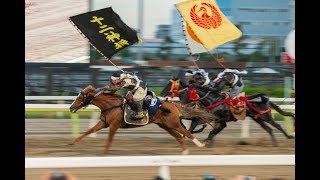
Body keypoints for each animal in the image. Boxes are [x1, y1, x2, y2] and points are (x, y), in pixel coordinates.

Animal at [69, 84, 206, 155]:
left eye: (80, 97)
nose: (71, 107)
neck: (111, 105)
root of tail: (173, 104)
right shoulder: (104, 123)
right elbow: (89, 130)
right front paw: (73, 142)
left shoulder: (114, 125)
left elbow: (109, 139)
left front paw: (105, 153)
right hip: (165, 125)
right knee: (178, 136)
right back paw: (185, 151)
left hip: (174, 123)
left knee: (186, 133)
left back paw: (200, 145)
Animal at [160, 77, 296, 146]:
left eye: (170, 85)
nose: (162, 93)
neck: (211, 100)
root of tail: (266, 100)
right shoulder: (204, 117)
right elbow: (194, 126)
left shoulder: (217, 120)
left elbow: (209, 131)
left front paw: (204, 142)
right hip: (257, 118)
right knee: (269, 129)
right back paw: (276, 143)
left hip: (265, 116)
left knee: (277, 125)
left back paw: (287, 137)